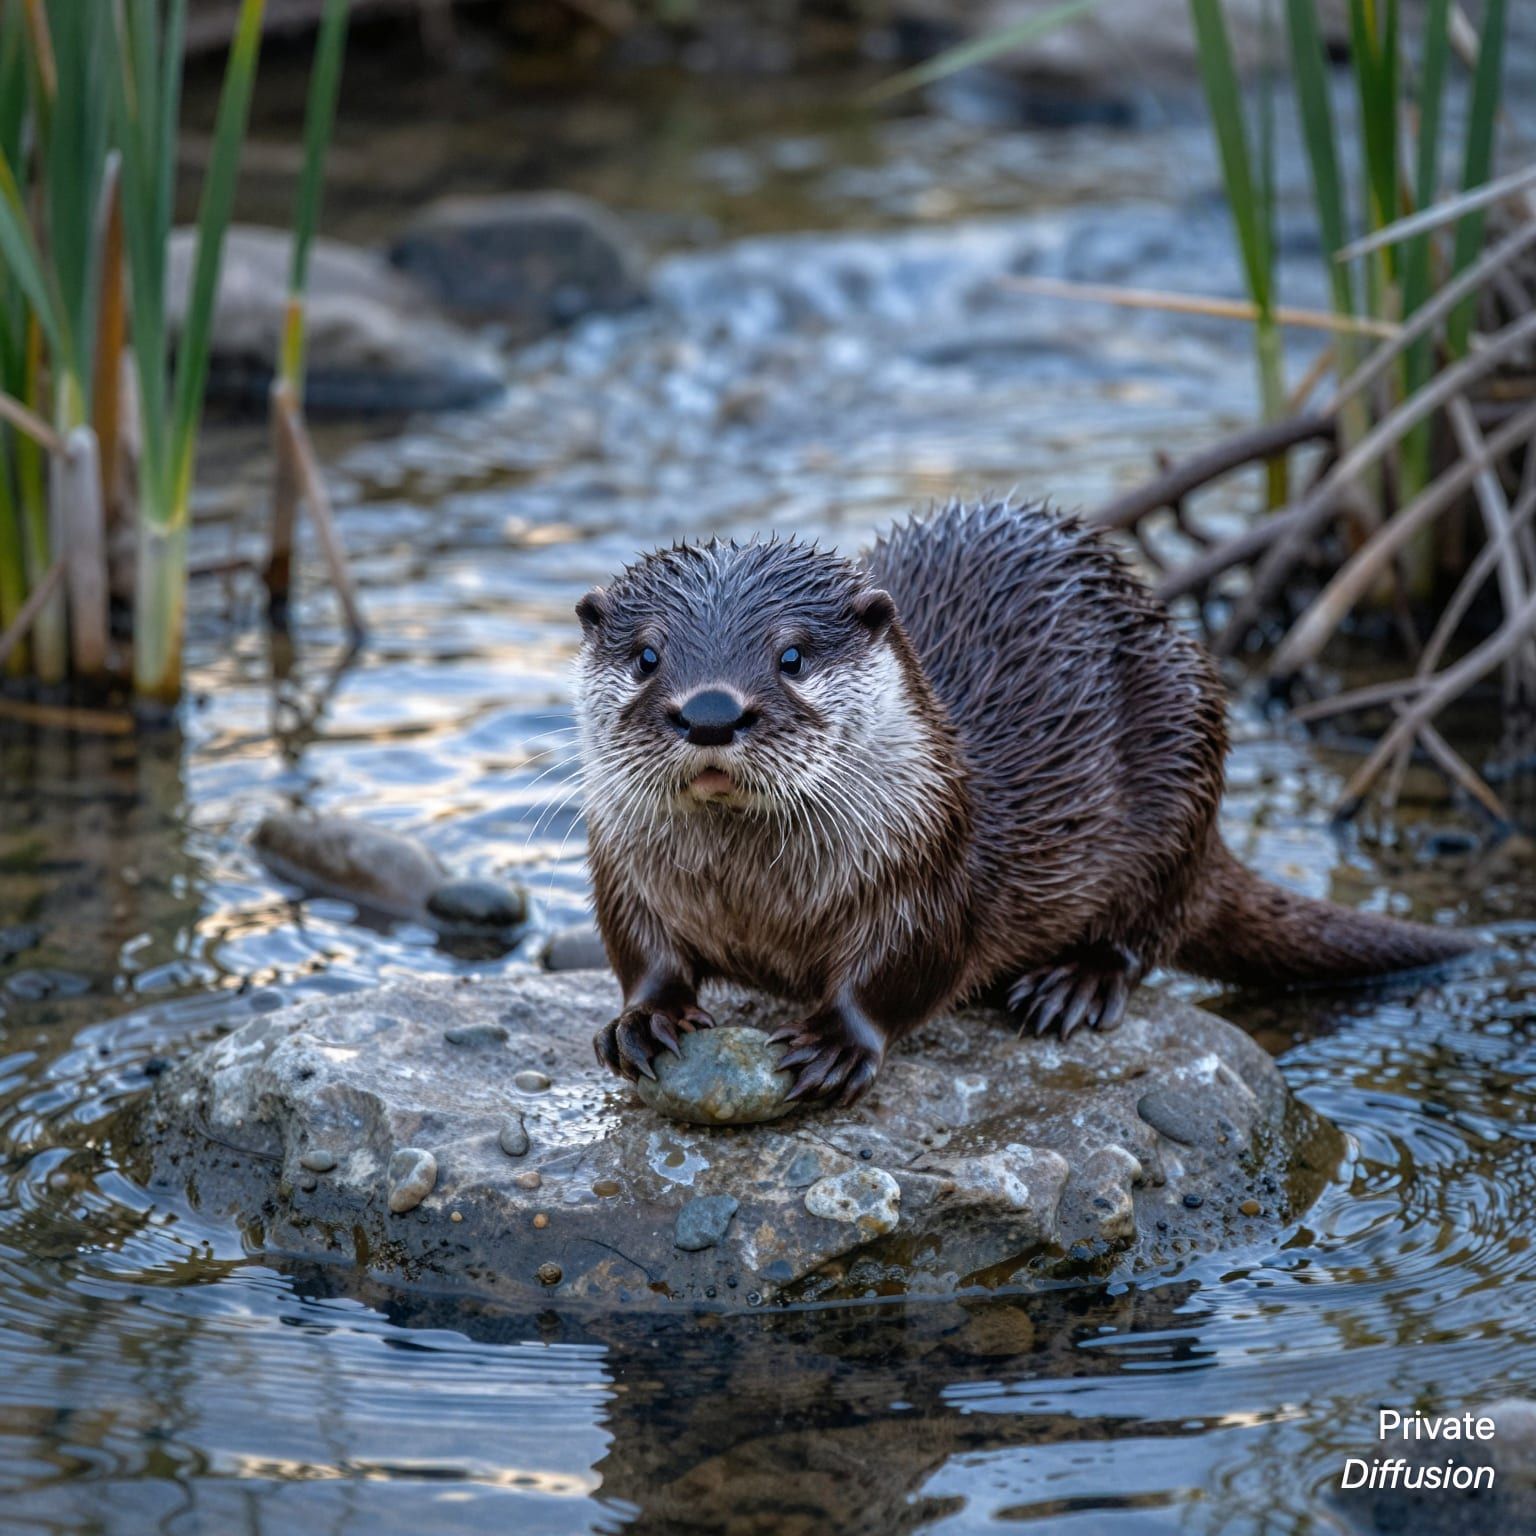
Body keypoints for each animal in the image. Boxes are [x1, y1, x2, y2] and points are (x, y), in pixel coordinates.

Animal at [576, 500, 1472, 1105]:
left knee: (1150, 925)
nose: (711, 711)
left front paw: (834, 1043)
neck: (758, 901)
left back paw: (1073, 984)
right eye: (648, 654)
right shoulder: (621, 866)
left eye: (790, 655)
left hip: (1183, 748)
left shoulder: (930, 870)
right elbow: (639, 950)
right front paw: (646, 1018)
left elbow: (907, 970)